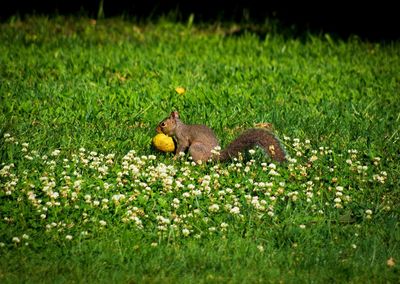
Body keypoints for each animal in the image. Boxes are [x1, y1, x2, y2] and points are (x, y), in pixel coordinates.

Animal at [155, 112, 286, 163]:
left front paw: (174, 158)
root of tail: (214, 155)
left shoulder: (183, 138)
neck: (179, 127)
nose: (156, 130)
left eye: (163, 124)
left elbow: (182, 147)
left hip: (195, 148)